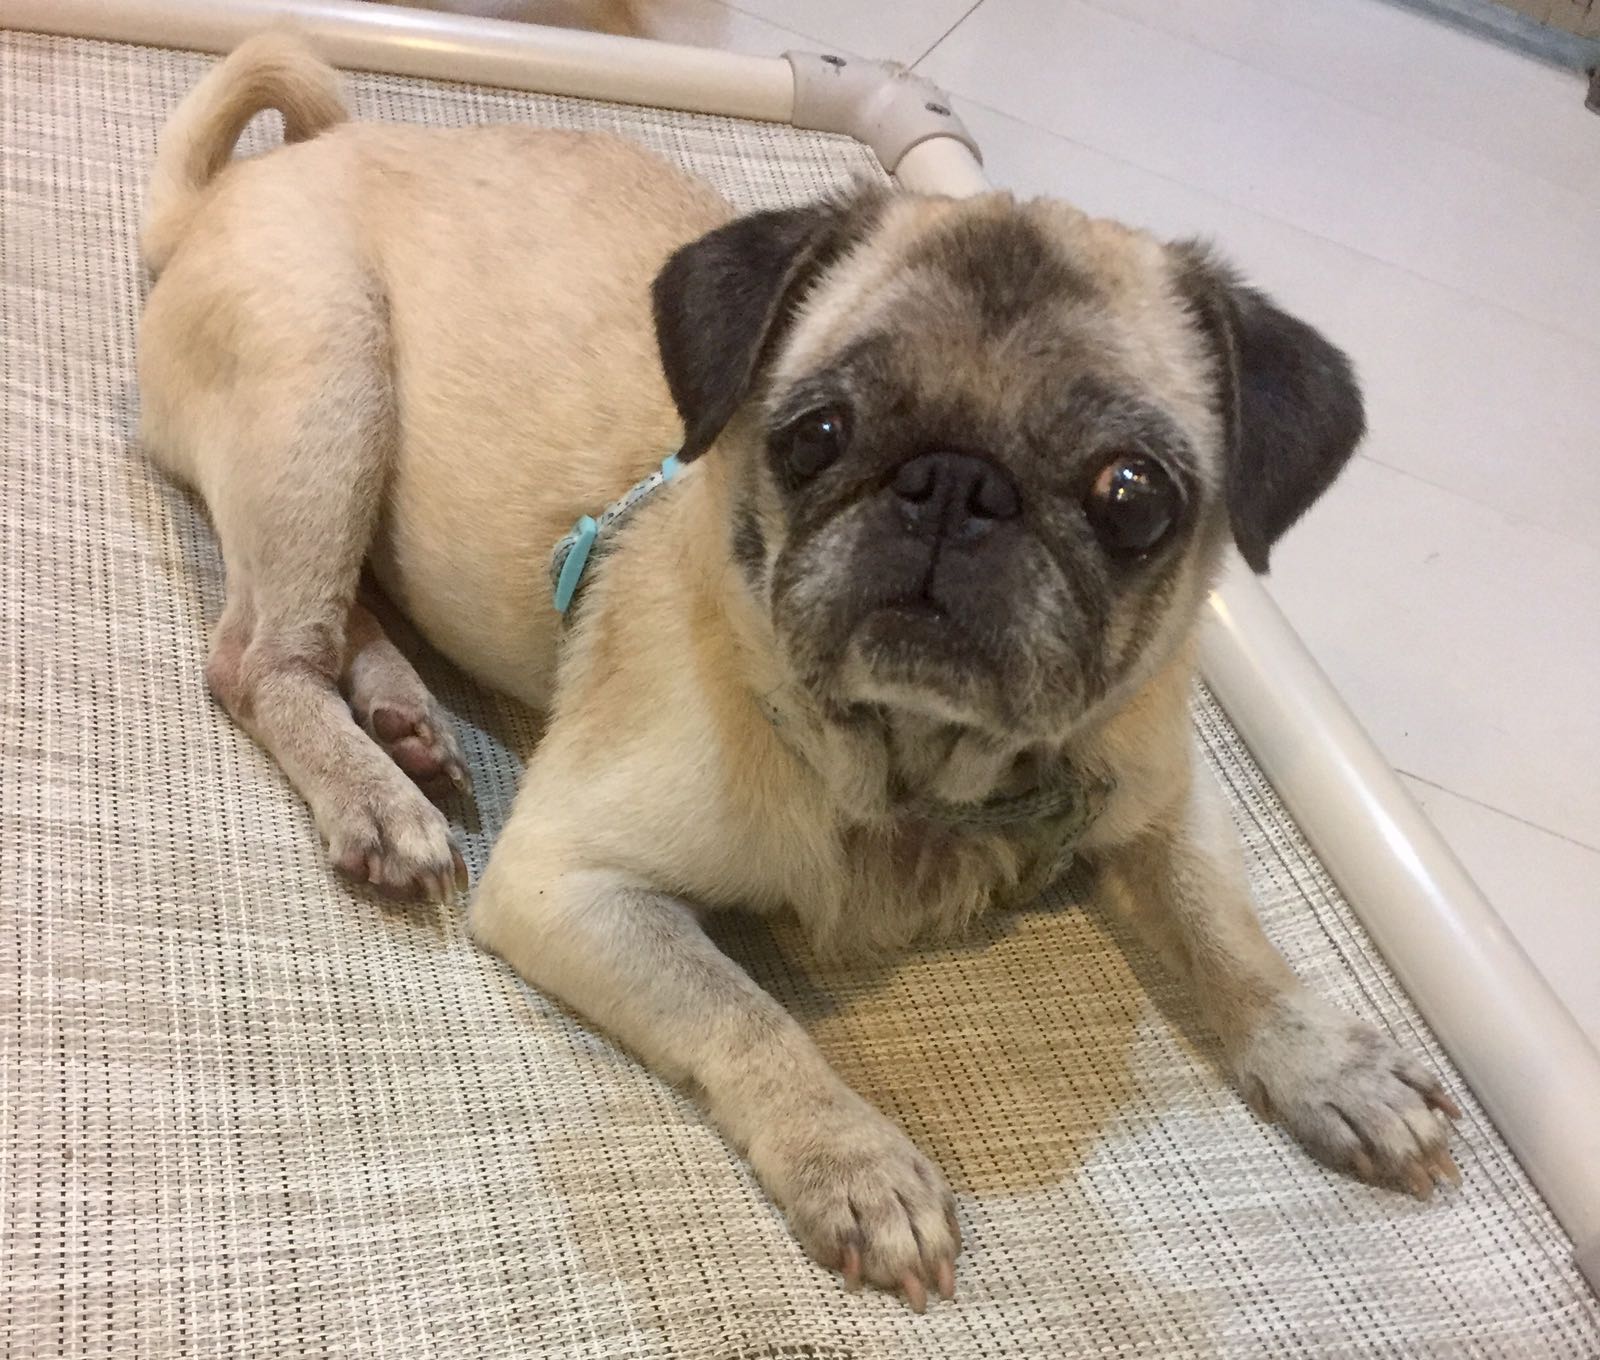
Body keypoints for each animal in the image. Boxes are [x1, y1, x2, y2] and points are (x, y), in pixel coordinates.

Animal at [138, 34, 1461, 1310]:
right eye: (813, 437)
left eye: (1132, 498)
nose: (955, 484)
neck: (921, 774)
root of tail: (242, 183)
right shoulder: (570, 881)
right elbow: (748, 1013)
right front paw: (852, 1160)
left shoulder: (1164, 798)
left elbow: (1227, 934)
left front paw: (1326, 1056)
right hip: (331, 380)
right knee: (256, 656)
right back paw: (375, 792)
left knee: (326, 619)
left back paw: (400, 708)